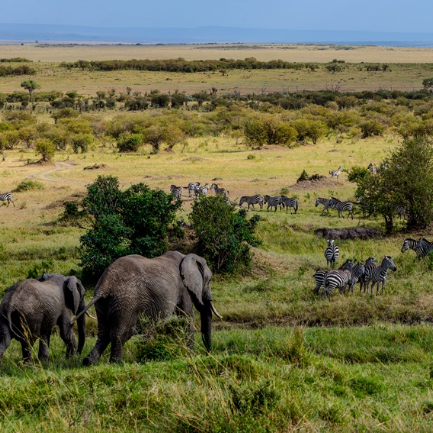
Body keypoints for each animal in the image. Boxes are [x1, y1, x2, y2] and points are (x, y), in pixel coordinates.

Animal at [75, 250, 221, 364]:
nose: (209, 353)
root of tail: (105, 286)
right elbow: (186, 317)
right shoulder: (184, 289)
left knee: (103, 333)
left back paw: (88, 362)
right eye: (209, 281)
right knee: (119, 333)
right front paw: (191, 355)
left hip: (103, 304)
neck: (187, 257)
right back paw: (116, 364)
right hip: (126, 302)